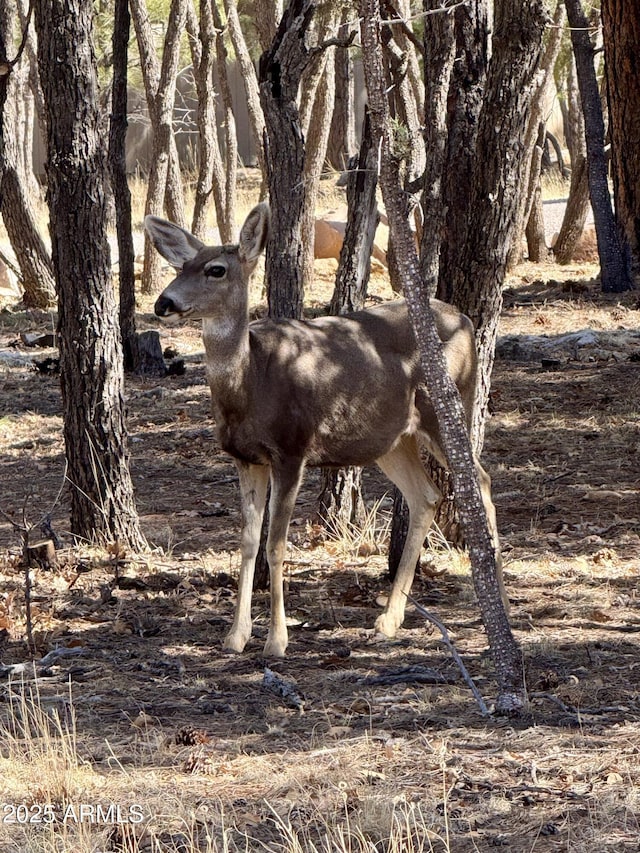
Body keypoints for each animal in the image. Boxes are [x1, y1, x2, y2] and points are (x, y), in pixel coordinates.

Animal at [145, 203, 504, 656]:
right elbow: (247, 542)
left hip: (449, 407)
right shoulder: (246, 458)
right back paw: (389, 619)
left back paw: (499, 607)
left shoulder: (291, 449)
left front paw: (276, 640)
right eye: (181, 266)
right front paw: (235, 636)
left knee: (483, 481)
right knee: (426, 495)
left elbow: (276, 544)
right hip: (392, 438)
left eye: (215, 269)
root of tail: (467, 320)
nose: (163, 302)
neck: (251, 383)